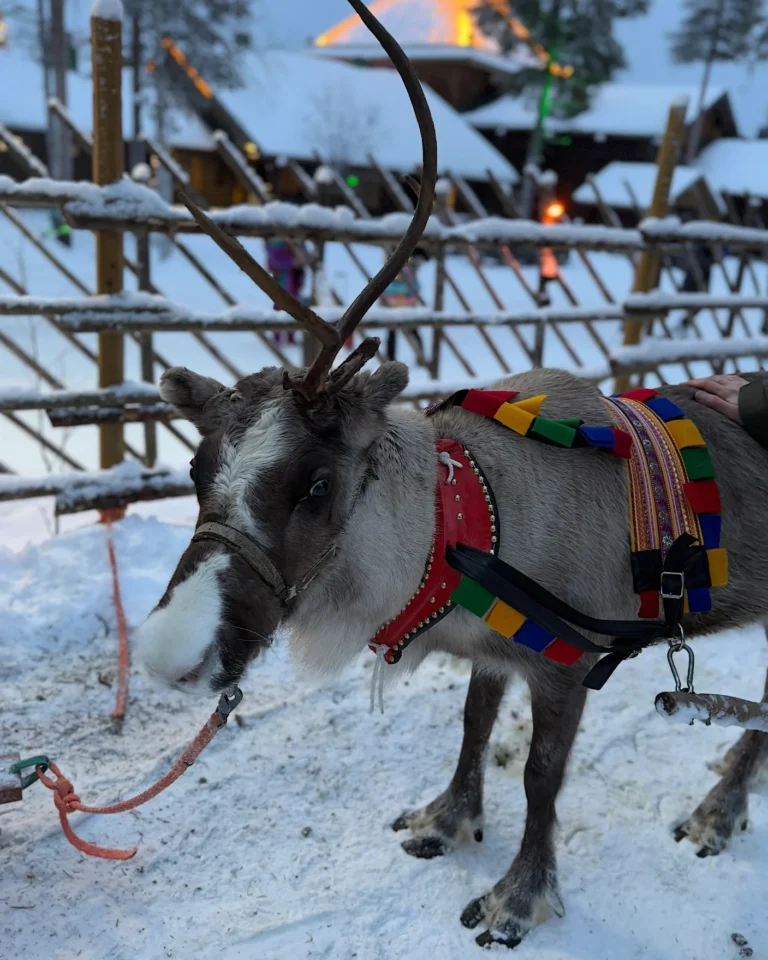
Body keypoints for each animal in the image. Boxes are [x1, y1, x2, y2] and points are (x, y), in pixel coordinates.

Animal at [135, 0, 768, 949]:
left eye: (315, 484)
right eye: (192, 465)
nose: (170, 654)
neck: (463, 523)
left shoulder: (568, 663)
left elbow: (541, 777)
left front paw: (518, 898)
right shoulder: (492, 650)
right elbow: (471, 729)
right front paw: (447, 818)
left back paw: (717, 813)